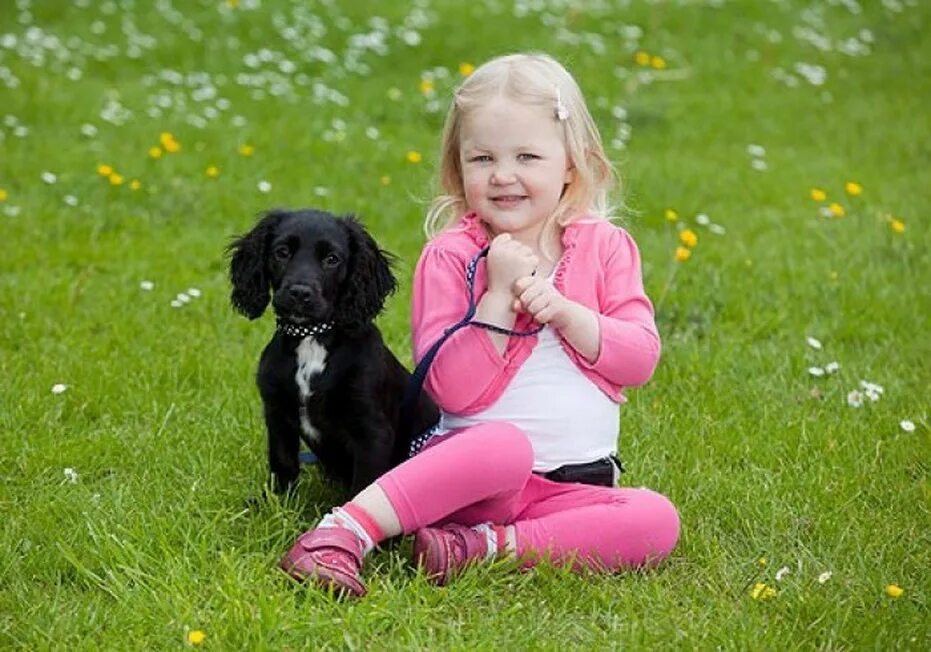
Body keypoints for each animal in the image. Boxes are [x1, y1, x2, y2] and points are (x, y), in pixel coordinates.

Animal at [229, 208, 440, 494]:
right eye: (282, 252)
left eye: (332, 259)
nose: (299, 293)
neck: (311, 337)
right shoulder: (277, 414)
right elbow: (282, 463)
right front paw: (273, 501)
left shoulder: (371, 430)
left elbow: (364, 484)